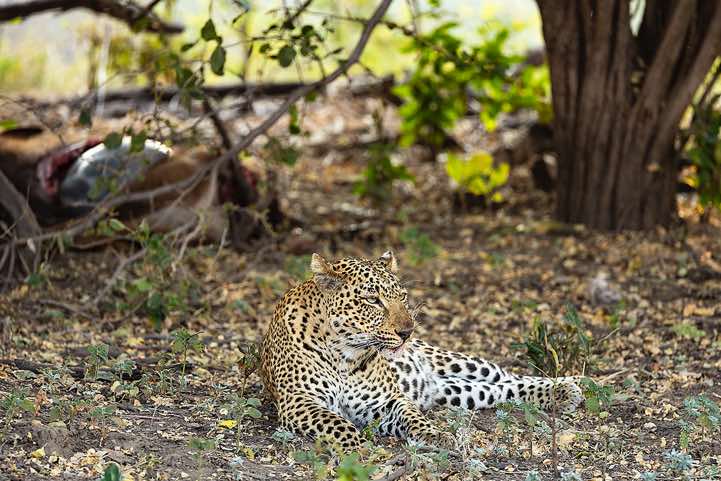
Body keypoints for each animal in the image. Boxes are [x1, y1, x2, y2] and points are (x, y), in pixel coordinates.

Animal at [259, 251, 584, 452]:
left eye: (402, 297)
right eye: (373, 300)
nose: (407, 332)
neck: (345, 355)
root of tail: (433, 381)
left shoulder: (388, 400)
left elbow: (412, 417)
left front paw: (434, 435)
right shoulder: (298, 401)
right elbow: (336, 423)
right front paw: (356, 445)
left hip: (460, 362)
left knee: (509, 377)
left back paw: (568, 387)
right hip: (456, 391)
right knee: (499, 390)